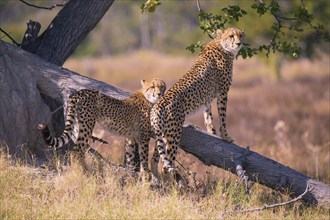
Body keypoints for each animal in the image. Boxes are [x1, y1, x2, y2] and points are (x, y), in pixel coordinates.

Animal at [38, 78, 166, 176]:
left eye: (162, 87)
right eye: (153, 86)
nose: (159, 93)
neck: (147, 98)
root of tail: (82, 91)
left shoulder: (131, 137)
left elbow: (130, 157)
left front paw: (131, 174)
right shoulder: (143, 137)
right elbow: (143, 156)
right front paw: (146, 173)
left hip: (78, 124)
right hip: (87, 125)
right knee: (77, 150)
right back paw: (83, 172)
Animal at [151, 27, 244, 186]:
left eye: (240, 35)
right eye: (231, 36)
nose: (239, 43)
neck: (222, 45)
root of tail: (159, 105)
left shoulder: (207, 97)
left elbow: (208, 115)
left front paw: (212, 131)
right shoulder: (223, 92)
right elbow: (222, 117)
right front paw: (225, 136)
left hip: (161, 134)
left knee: (154, 160)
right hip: (174, 134)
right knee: (166, 165)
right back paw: (172, 187)